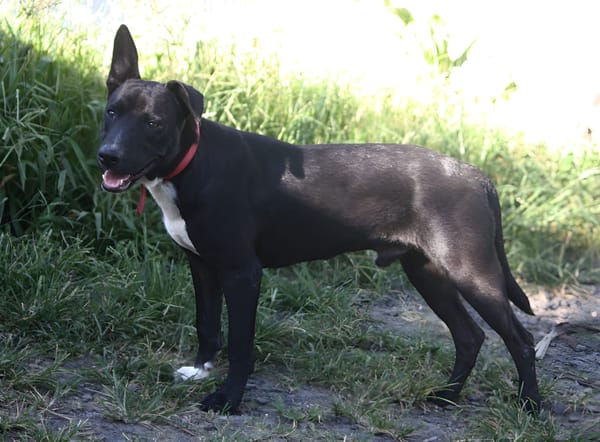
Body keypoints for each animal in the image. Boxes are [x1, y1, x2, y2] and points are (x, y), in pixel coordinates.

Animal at [97, 25, 540, 414]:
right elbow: (207, 323)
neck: (194, 164)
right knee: (470, 336)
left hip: (472, 273)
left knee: (520, 339)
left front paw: (227, 400)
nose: (107, 156)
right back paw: (446, 397)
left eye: (153, 123)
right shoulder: (203, 265)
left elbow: (241, 344)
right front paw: (200, 370)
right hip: (427, 272)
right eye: (111, 112)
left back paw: (530, 407)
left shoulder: (242, 272)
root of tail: (479, 177)